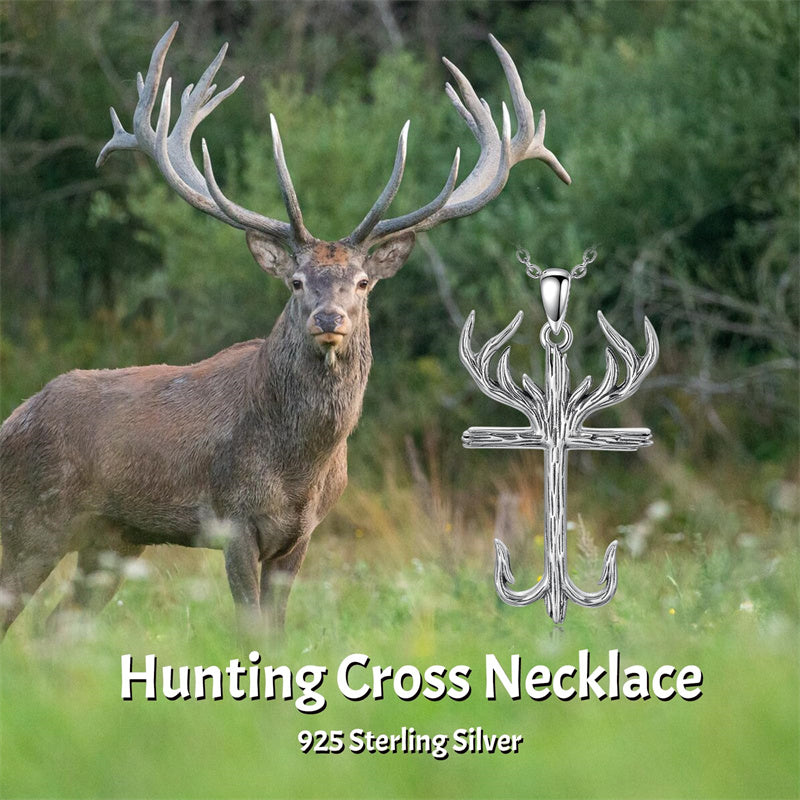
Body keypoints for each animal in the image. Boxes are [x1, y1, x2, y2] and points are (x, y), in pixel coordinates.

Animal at [0, 22, 570, 637]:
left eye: (363, 282)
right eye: (297, 281)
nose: (329, 319)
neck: (298, 470)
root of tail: (13, 419)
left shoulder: (302, 535)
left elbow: (277, 629)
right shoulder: (232, 521)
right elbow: (249, 625)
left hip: (111, 541)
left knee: (55, 631)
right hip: (33, 520)